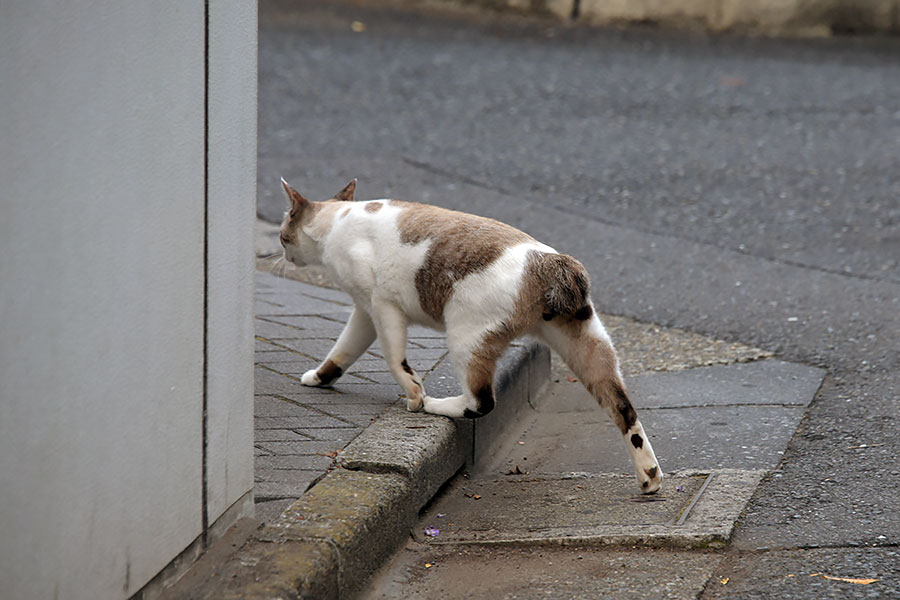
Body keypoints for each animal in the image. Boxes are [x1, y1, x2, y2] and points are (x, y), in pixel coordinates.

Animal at [280, 177, 660, 492]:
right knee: (624, 410)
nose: (282, 253)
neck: (337, 221)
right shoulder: (364, 313)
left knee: (482, 401)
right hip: (586, 345)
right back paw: (649, 479)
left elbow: (395, 360)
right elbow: (343, 351)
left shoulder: (381, 306)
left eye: (283, 234)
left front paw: (414, 396)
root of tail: (549, 264)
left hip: (465, 335)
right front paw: (319, 378)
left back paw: (436, 405)